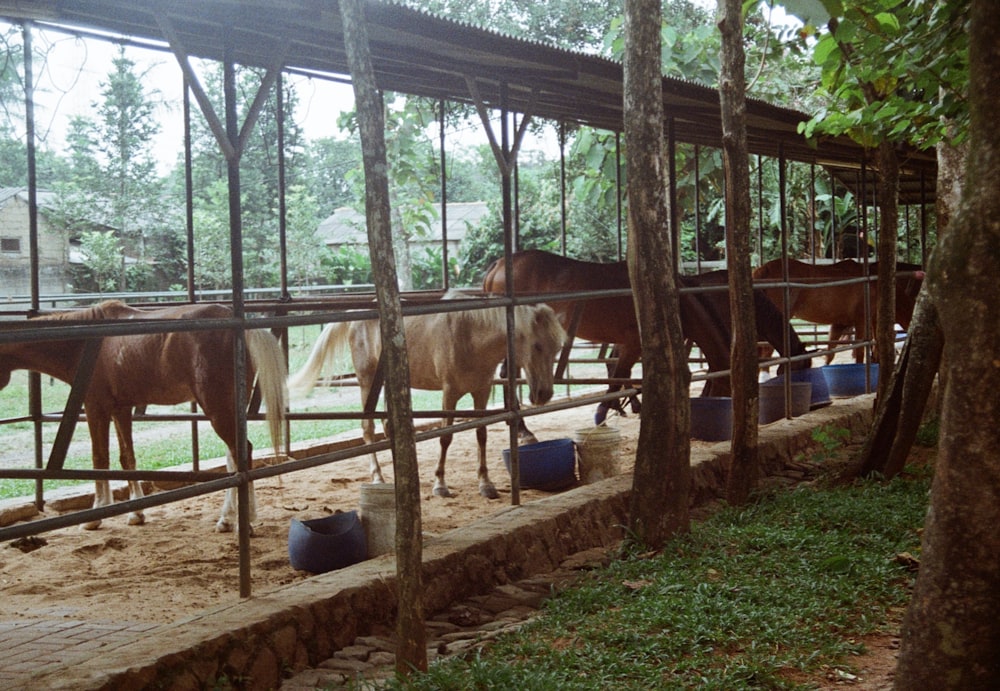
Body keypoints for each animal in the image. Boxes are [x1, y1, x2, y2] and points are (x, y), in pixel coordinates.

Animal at [0, 300, 290, 532]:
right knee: (234, 457)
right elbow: (127, 458)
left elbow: (99, 458)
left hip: (218, 409)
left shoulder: (96, 407)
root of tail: (242, 328)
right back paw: (228, 519)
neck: (84, 342)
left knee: (242, 453)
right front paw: (136, 513)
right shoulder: (120, 409)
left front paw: (95, 516)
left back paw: (244, 521)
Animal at [290, 294, 568, 500]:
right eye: (537, 345)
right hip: (367, 382)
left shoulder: (481, 391)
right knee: (368, 428)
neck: (470, 334)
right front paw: (440, 484)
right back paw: (378, 477)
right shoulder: (450, 393)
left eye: (557, 347)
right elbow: (446, 436)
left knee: (388, 424)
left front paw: (485, 484)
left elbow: (481, 434)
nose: (543, 394)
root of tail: (355, 318)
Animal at [480, 249, 816, 422]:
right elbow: (619, 374)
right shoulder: (634, 342)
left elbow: (623, 373)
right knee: (507, 376)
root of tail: (499, 265)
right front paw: (607, 412)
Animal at [752, 260, 924, 364]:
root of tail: (763, 270)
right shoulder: (862, 321)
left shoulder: (839, 324)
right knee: (765, 352)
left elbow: (830, 353)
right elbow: (860, 350)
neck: (875, 284)